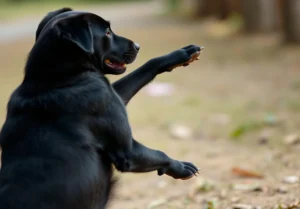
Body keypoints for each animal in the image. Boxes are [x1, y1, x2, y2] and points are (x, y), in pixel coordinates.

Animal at [0, 8, 202, 209]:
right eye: (107, 33)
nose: (138, 46)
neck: (56, 77)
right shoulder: (127, 149)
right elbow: (159, 154)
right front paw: (181, 167)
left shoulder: (114, 94)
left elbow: (147, 66)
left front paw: (181, 55)